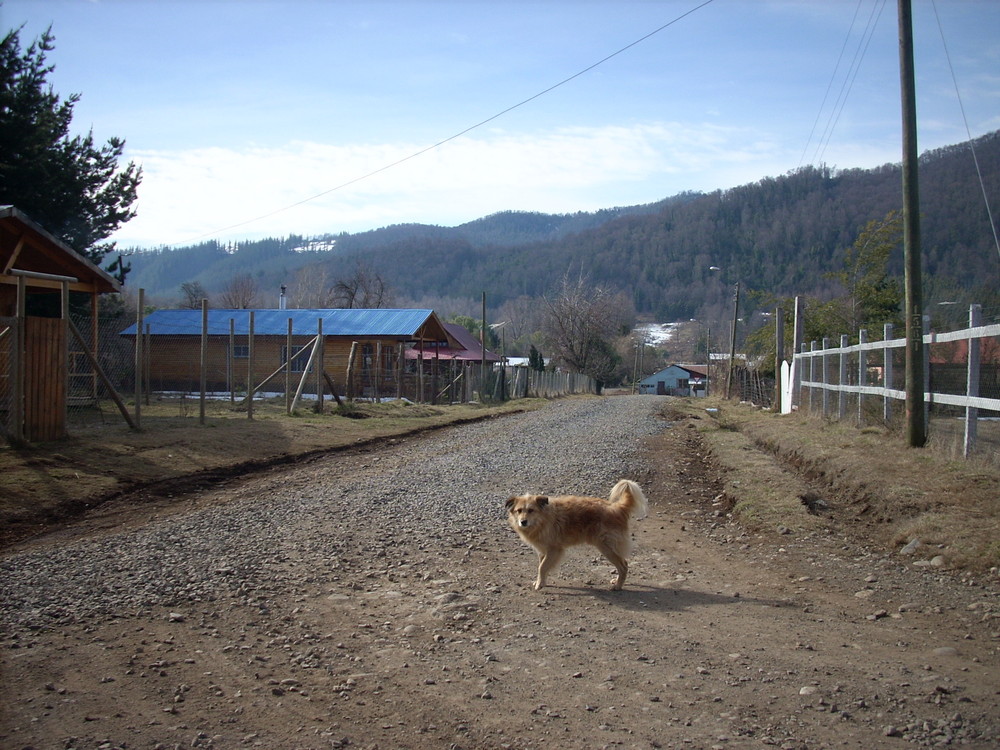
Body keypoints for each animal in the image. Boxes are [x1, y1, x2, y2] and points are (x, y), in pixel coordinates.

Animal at [508, 482, 648, 592]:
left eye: (531, 510)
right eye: (519, 511)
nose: (523, 522)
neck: (543, 519)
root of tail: (618, 507)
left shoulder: (554, 549)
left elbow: (541, 567)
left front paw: (539, 585)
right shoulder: (543, 551)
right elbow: (543, 567)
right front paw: (541, 582)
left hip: (606, 547)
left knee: (623, 565)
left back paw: (618, 586)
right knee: (623, 563)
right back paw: (617, 581)